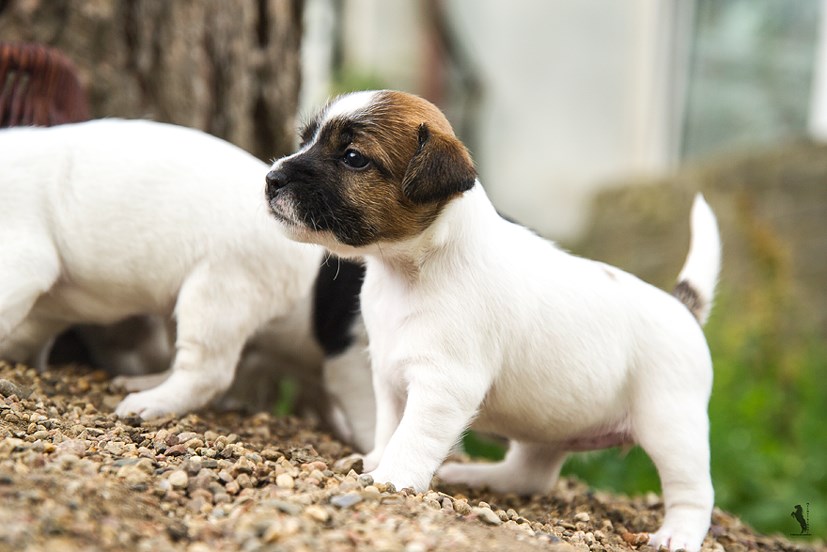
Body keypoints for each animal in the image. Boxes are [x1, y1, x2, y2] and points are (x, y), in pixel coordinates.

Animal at [266, 88, 724, 548]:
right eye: (306, 139)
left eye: (353, 157)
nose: (271, 179)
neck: (412, 268)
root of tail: (682, 307)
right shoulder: (388, 377)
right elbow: (388, 426)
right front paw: (376, 459)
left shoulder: (442, 386)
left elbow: (412, 436)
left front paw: (391, 478)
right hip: (553, 426)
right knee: (530, 474)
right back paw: (476, 475)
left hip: (671, 427)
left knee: (696, 493)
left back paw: (678, 534)